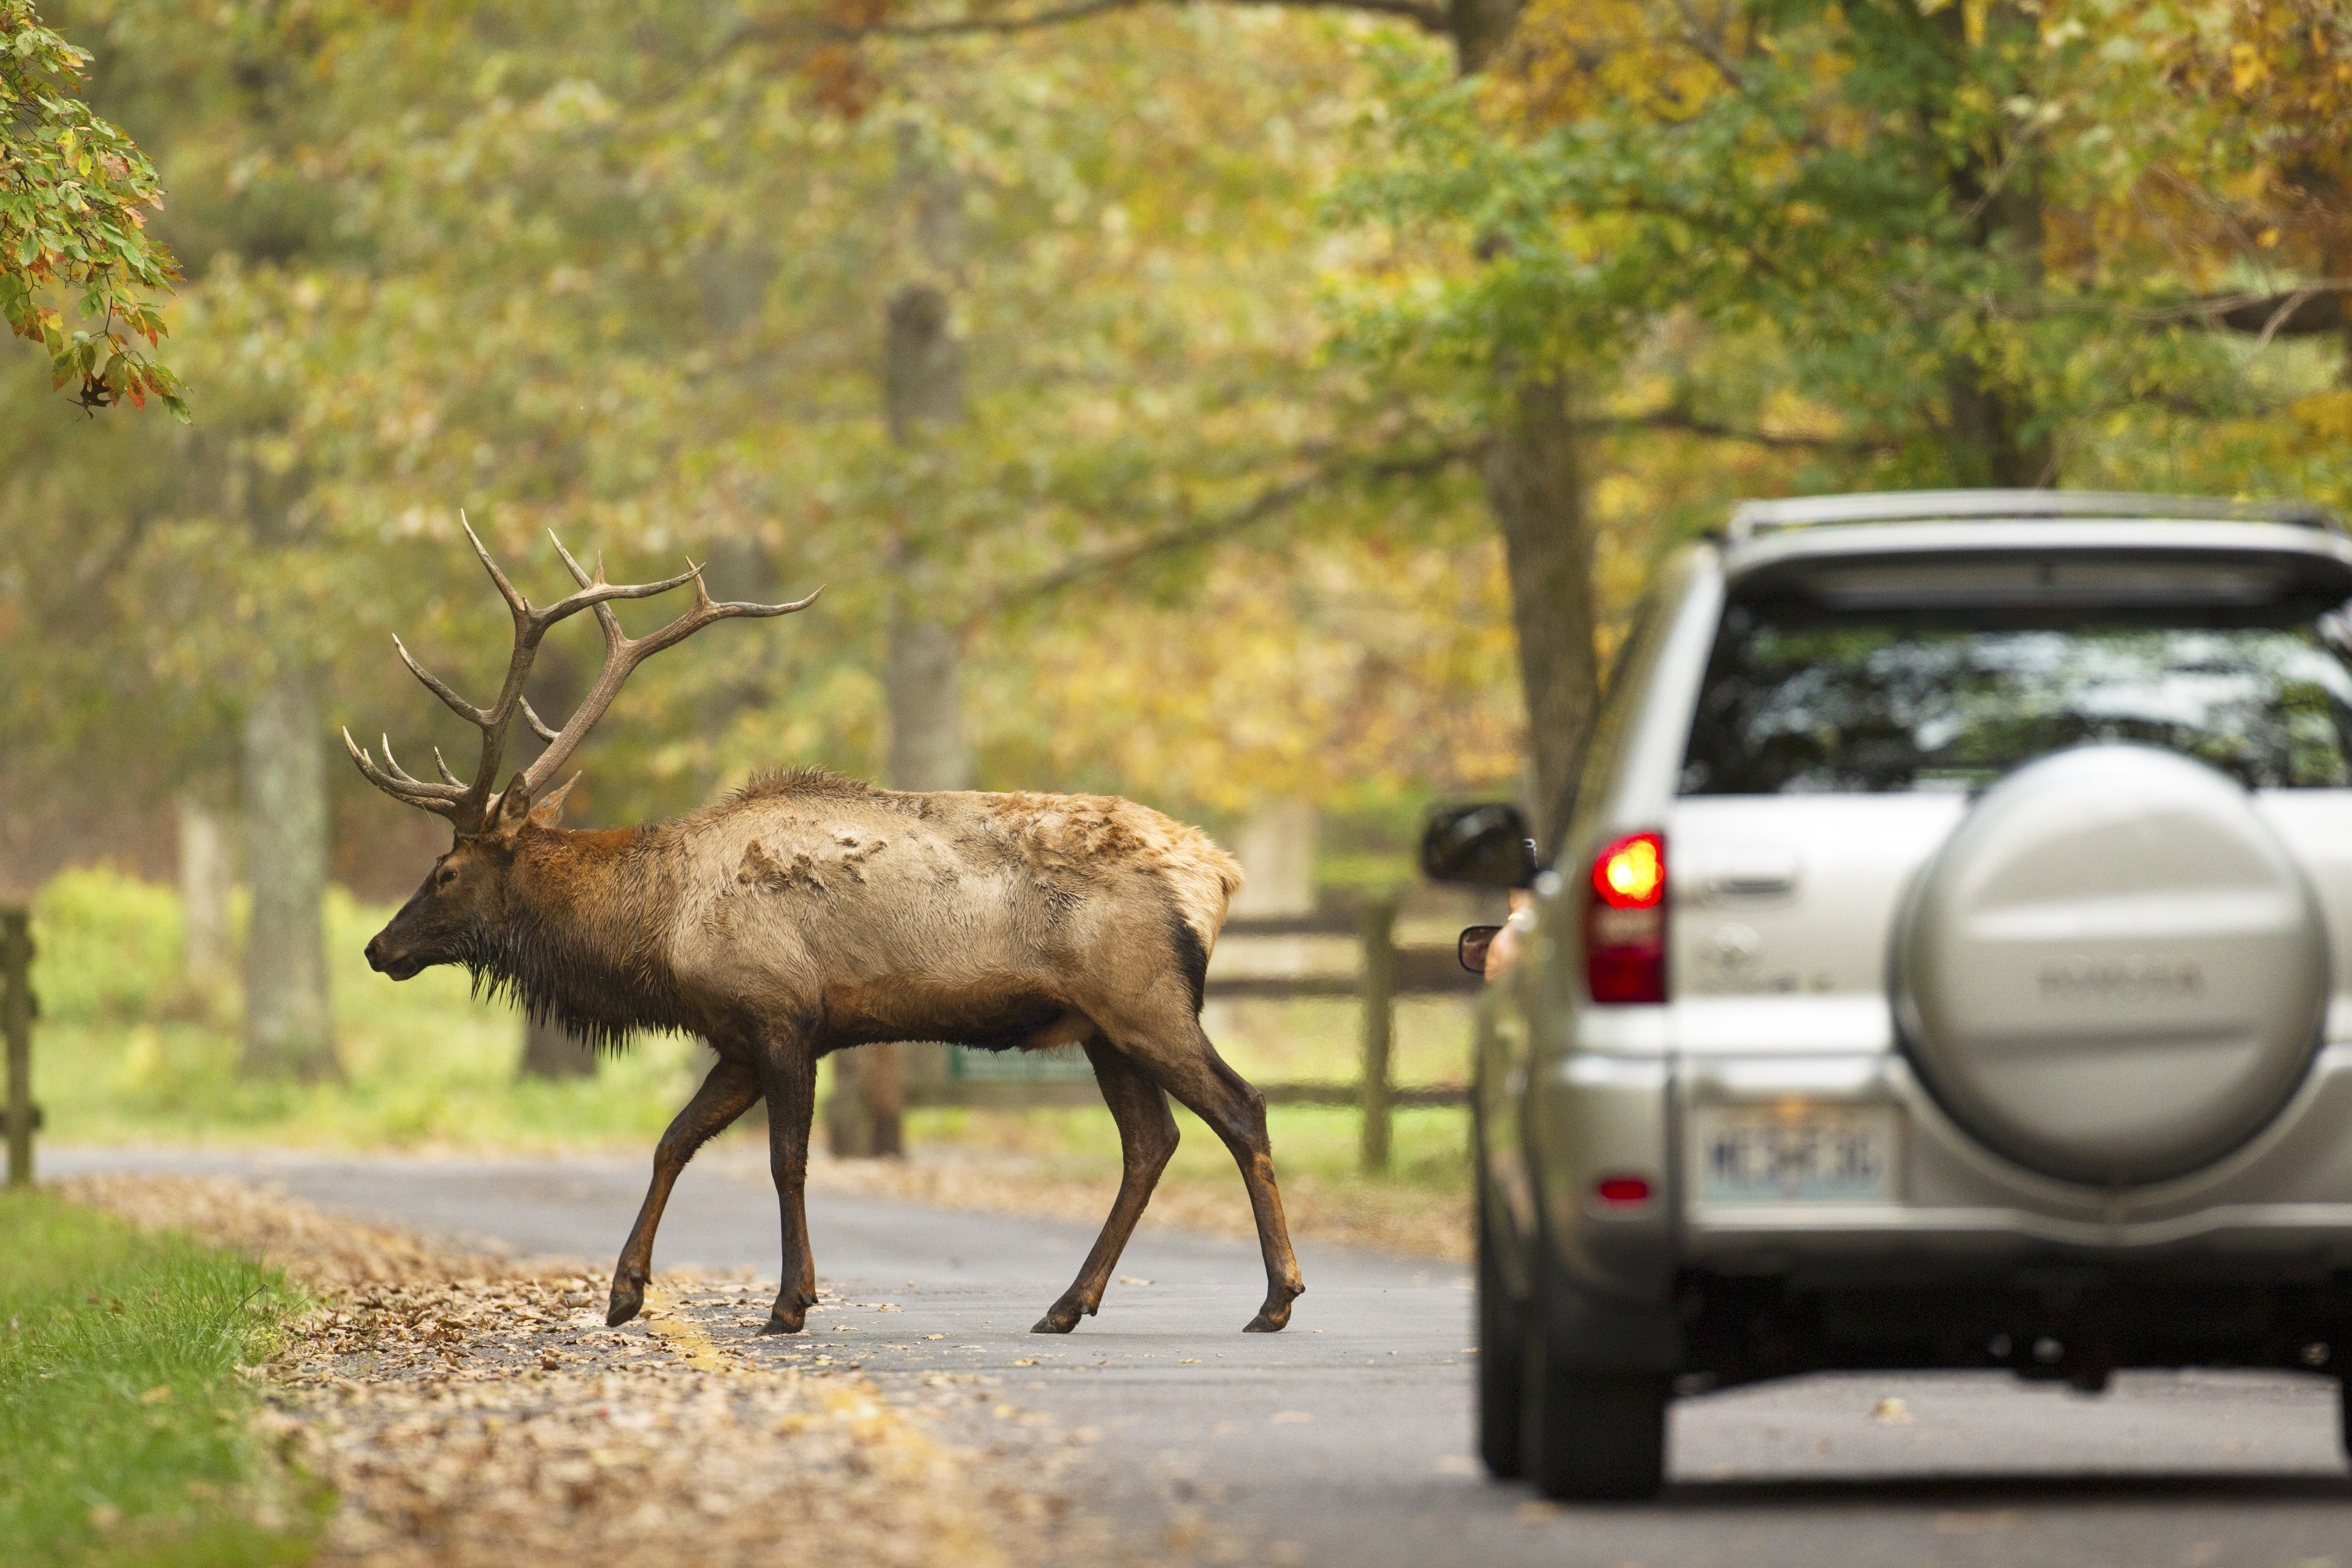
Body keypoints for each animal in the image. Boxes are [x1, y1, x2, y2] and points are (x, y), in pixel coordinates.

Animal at [347, 527, 1305, 1337]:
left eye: (446, 871)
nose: (377, 947)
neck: (657, 931)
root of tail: (1221, 873)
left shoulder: (783, 1015)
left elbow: (788, 1160)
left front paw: (787, 1304)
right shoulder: (736, 1037)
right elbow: (672, 1141)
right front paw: (624, 1292)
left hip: (1144, 997)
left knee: (1240, 1107)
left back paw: (1275, 1299)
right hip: (1101, 1026)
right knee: (1152, 1141)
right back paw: (1068, 1304)